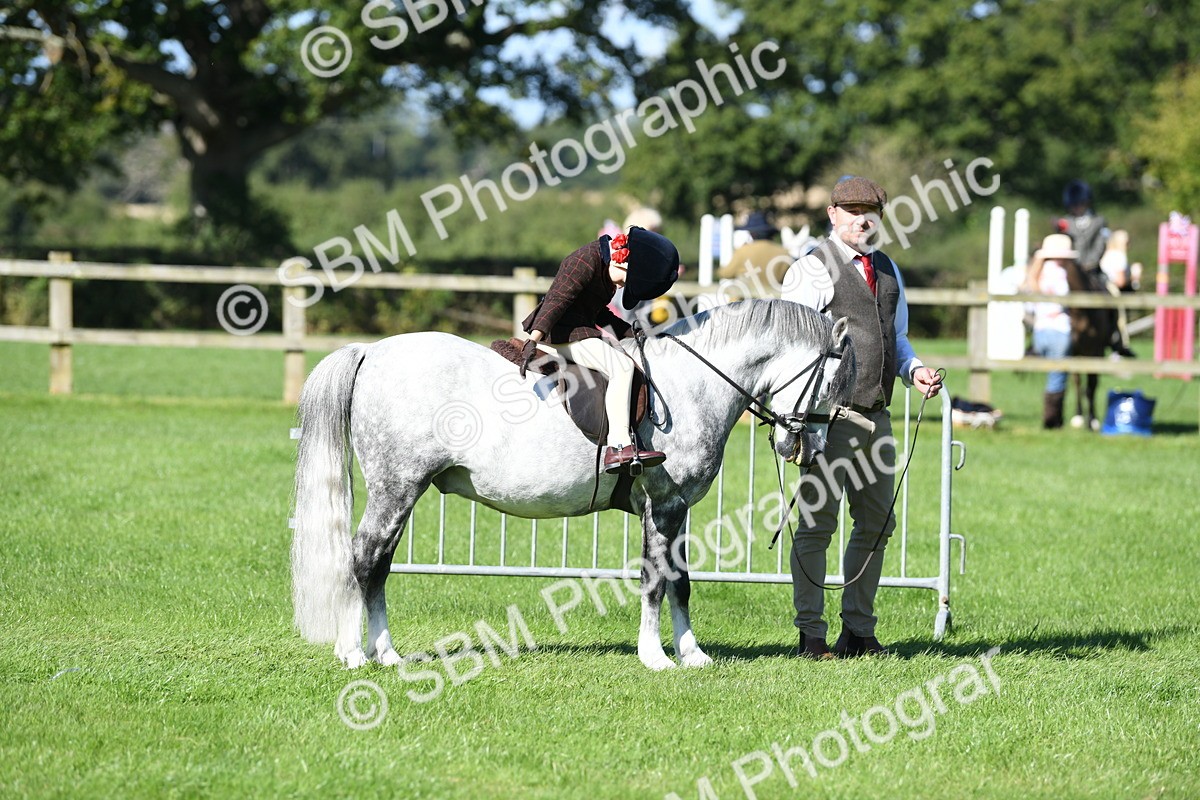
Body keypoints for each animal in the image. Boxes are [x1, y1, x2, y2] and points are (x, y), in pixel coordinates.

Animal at [289, 299, 855, 671]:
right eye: (829, 383)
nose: (808, 447)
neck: (691, 386)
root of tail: (372, 352)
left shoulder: (676, 509)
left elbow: (680, 580)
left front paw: (692, 654)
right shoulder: (664, 504)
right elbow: (657, 580)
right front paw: (656, 658)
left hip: (402, 492)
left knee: (379, 566)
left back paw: (385, 653)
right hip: (396, 488)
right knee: (364, 560)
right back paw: (355, 653)